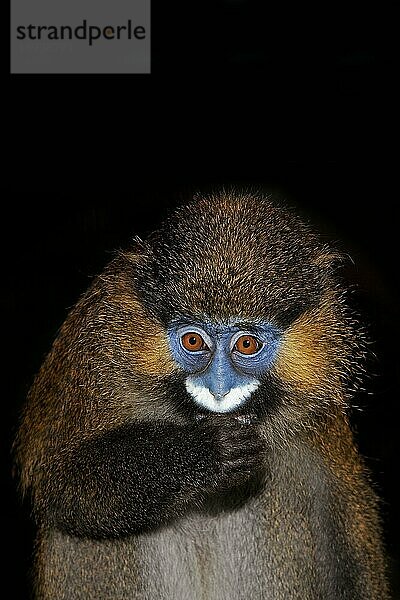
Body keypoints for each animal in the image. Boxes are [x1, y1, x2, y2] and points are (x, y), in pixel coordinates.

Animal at [14, 190, 390, 596]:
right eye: (194, 341)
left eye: (246, 344)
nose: (219, 390)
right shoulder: (96, 353)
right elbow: (61, 482)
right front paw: (205, 453)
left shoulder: (321, 413)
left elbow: (353, 535)